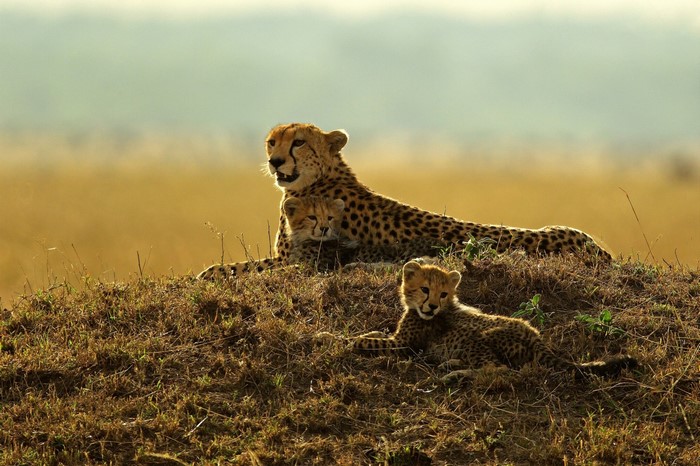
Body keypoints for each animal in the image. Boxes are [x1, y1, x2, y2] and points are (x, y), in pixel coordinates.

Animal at [197, 123, 611, 280]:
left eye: (298, 142)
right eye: (272, 141)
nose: (275, 161)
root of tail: (599, 249)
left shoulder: (297, 261)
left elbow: (235, 269)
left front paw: (208, 273)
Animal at [350, 260, 636, 382]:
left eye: (443, 294)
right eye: (424, 289)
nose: (432, 306)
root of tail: (534, 334)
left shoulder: (405, 344)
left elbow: (366, 343)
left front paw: (344, 340)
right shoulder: (399, 336)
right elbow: (377, 335)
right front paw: (366, 334)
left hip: (478, 337)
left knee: (500, 370)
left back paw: (455, 374)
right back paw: (452, 364)